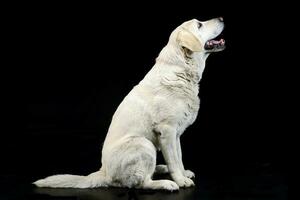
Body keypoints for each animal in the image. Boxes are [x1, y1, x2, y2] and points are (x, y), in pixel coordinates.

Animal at [33, 18, 225, 191]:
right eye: (199, 24)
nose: (222, 18)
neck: (180, 71)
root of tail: (104, 173)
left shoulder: (176, 134)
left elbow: (179, 157)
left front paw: (183, 173)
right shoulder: (167, 131)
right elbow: (174, 161)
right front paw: (180, 180)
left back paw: (160, 168)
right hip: (143, 143)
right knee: (140, 183)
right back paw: (165, 183)